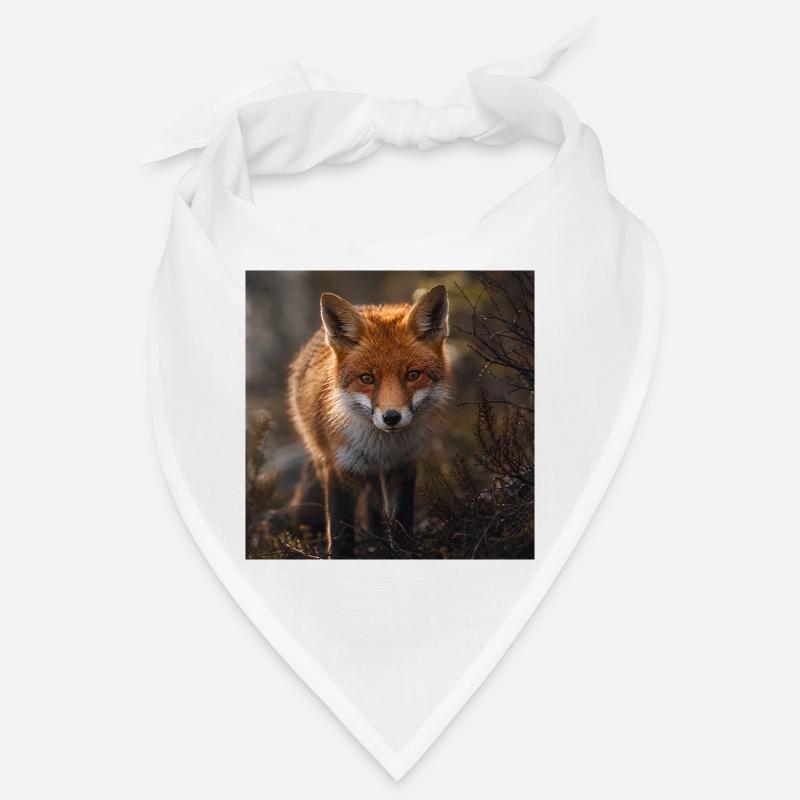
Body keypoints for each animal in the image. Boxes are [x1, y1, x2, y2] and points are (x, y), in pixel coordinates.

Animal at [288, 284, 451, 558]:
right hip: (322, 459)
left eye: (412, 375)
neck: (382, 447)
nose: (391, 417)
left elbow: (401, 522)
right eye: (367, 378)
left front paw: (403, 552)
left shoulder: (403, 465)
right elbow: (341, 533)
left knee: (375, 507)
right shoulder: (340, 467)